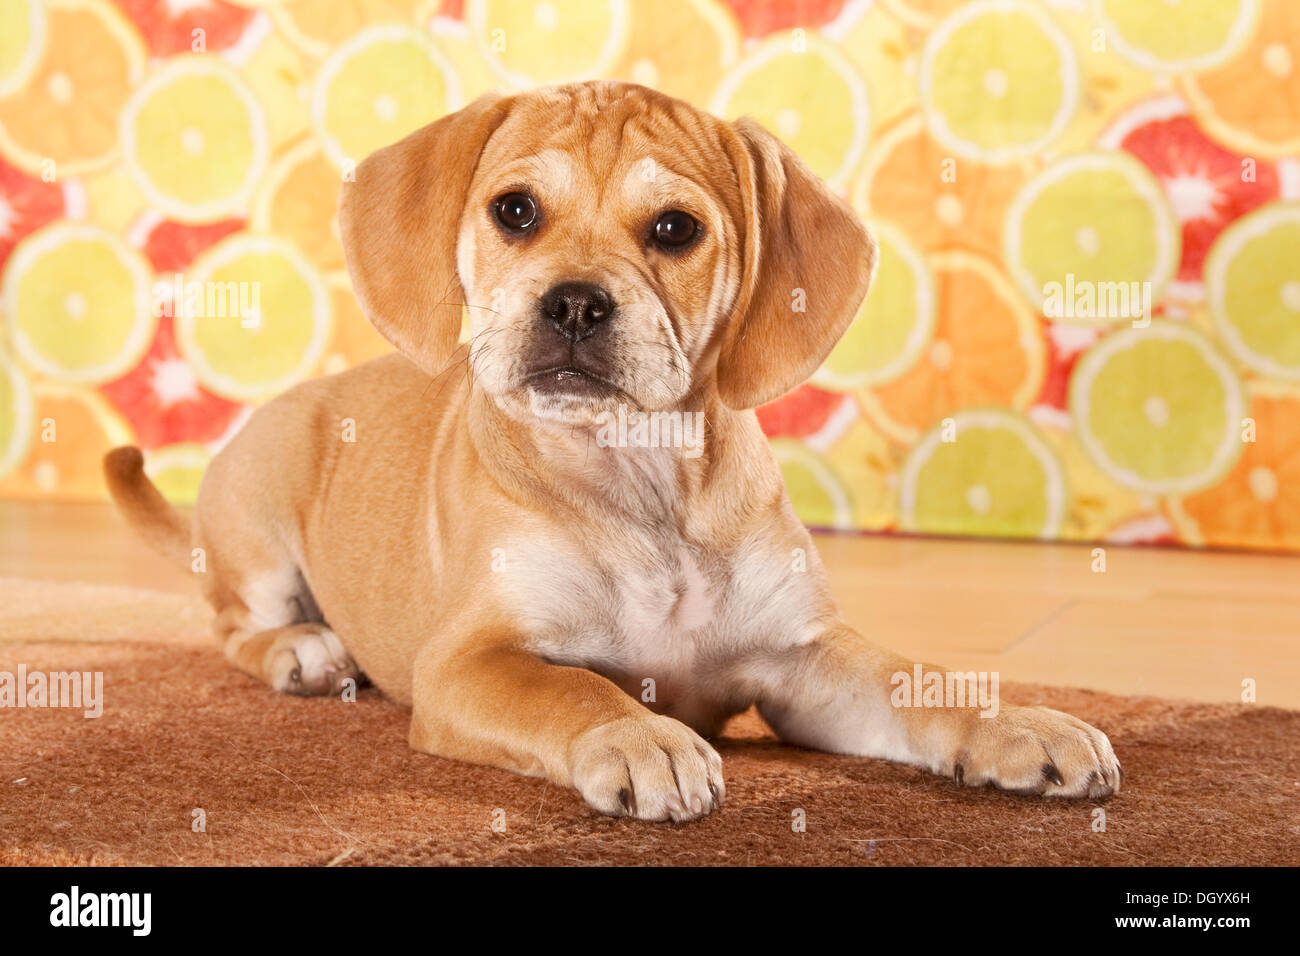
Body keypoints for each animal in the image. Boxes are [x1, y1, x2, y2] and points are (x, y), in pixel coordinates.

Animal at [104, 82, 1118, 822]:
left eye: (675, 228)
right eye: (515, 211)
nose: (576, 304)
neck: (641, 479)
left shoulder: (804, 662)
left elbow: (922, 681)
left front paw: (1017, 722)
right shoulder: (472, 662)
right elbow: (577, 693)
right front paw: (642, 739)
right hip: (260, 538)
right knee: (233, 627)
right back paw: (302, 652)